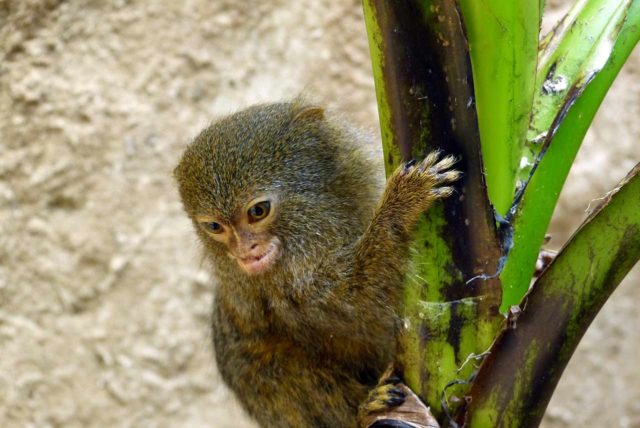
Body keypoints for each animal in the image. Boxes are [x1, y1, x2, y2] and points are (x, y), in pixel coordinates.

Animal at [172, 101, 458, 428]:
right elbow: (363, 301)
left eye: (258, 211)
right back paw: (369, 408)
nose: (245, 251)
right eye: (215, 227)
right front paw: (399, 205)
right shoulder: (297, 292)